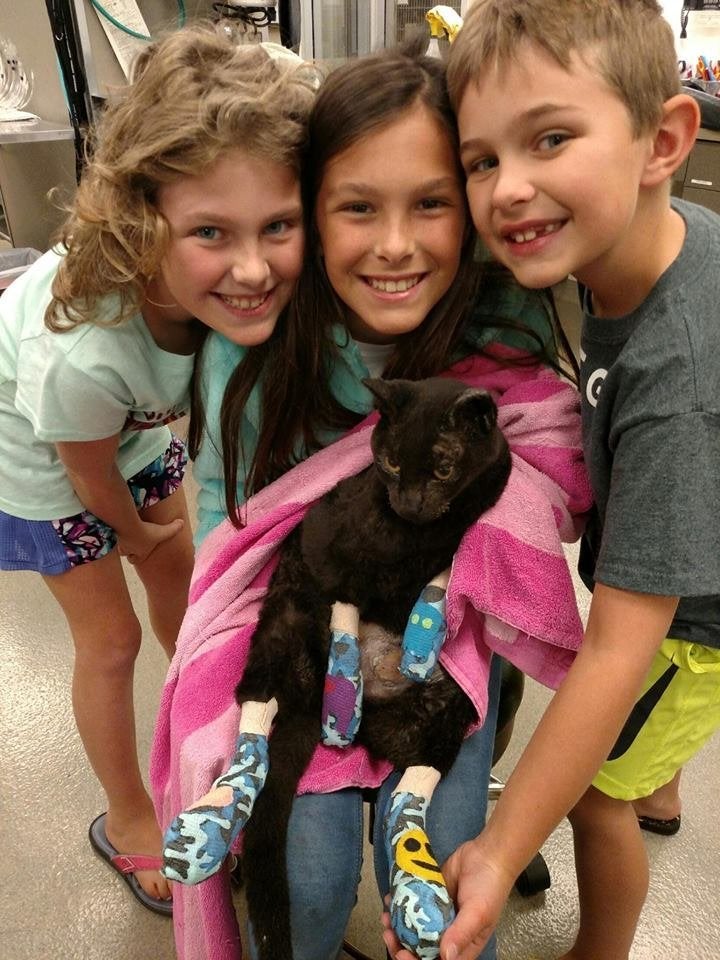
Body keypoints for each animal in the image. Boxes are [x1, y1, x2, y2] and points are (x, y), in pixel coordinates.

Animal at [236, 376, 512, 960]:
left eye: (442, 469)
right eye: (389, 463)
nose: (408, 503)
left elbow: (445, 561)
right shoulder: (329, 547)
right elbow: (354, 581)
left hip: (445, 711)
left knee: (419, 770)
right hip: (280, 628)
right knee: (259, 699)